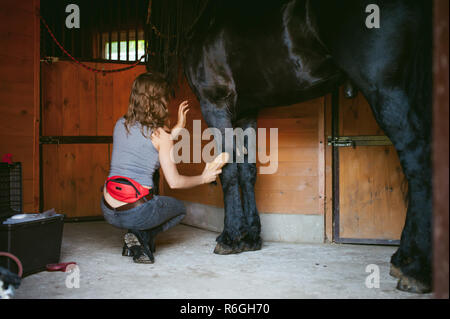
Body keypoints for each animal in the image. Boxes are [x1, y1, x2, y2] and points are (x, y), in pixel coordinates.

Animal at [183, 0, 432, 296]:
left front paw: (231, 238)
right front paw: (251, 237)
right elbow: (248, 172)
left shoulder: (216, 103)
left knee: (417, 162)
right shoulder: (246, 114)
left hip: (386, 91)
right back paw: (403, 259)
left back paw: (414, 269)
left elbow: (229, 170)